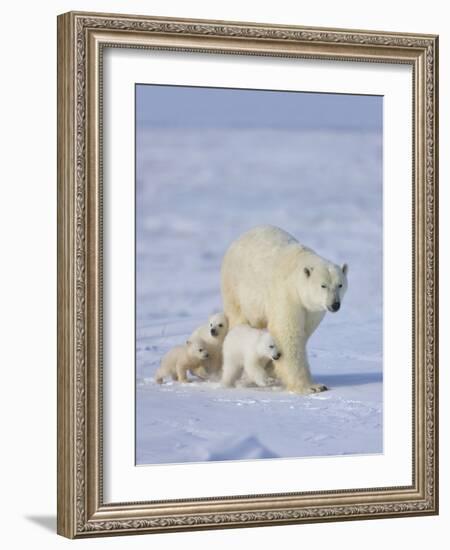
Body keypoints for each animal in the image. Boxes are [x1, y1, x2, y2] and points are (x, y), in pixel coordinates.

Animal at [221, 226, 348, 394]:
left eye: (340, 285)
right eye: (323, 285)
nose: (335, 305)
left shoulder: (312, 310)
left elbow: (303, 332)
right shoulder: (286, 295)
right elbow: (287, 333)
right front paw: (312, 386)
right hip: (237, 289)